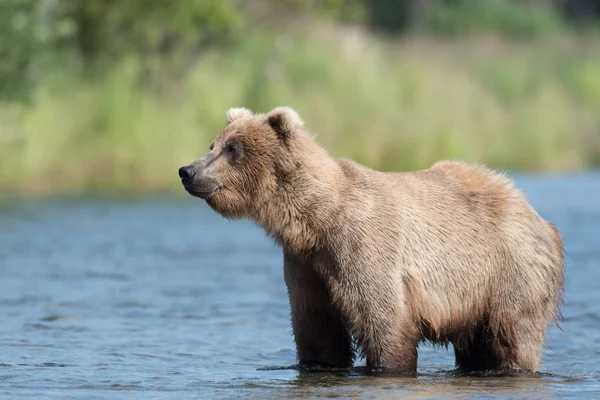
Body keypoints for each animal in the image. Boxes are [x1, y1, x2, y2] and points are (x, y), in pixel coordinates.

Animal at [177, 105, 564, 372]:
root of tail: (532, 208)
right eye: (213, 144)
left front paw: (388, 365)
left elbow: (383, 320)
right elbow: (316, 328)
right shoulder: (305, 264)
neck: (315, 220)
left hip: (508, 271)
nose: (187, 171)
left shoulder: (364, 248)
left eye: (233, 148)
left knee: (511, 337)